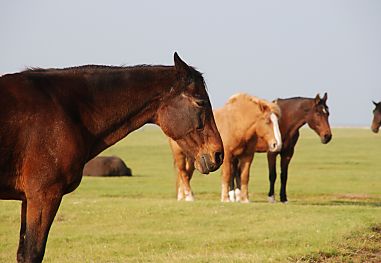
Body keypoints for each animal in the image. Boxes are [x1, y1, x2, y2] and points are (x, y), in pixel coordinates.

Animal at [0, 52, 223, 262]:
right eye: (200, 102)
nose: (218, 154)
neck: (66, 111)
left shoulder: (28, 199)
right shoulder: (43, 196)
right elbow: (32, 253)